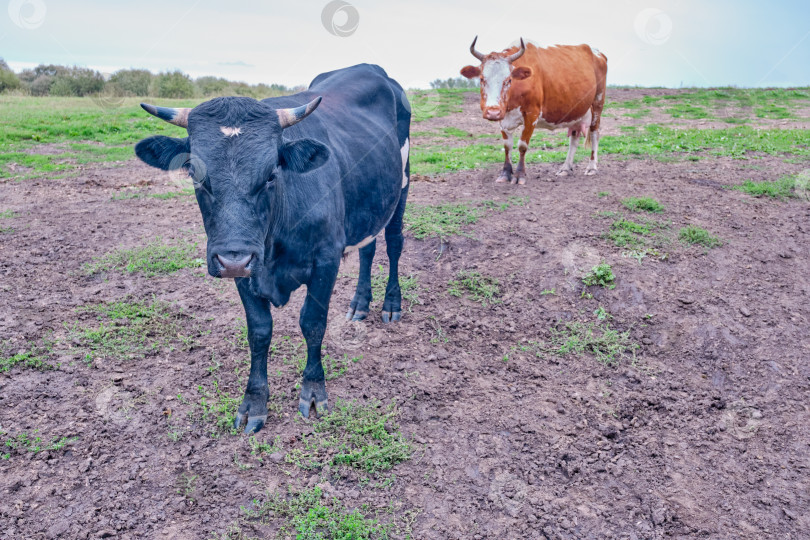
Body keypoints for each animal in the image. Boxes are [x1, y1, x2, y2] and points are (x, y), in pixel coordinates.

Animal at [136, 64, 410, 434]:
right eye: (195, 174)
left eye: (271, 174)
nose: (233, 260)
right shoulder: (245, 265)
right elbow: (259, 331)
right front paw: (254, 403)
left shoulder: (326, 258)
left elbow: (312, 322)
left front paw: (313, 391)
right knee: (368, 248)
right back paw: (359, 304)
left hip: (403, 183)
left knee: (394, 243)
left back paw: (391, 304)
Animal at [460, 36, 608, 184]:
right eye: (481, 79)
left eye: (509, 80)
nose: (493, 112)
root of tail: (597, 53)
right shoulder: (504, 117)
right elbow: (507, 146)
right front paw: (505, 173)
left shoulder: (532, 114)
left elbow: (522, 145)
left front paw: (519, 175)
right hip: (576, 111)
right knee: (574, 138)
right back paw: (565, 168)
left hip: (597, 104)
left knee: (595, 134)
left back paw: (591, 167)